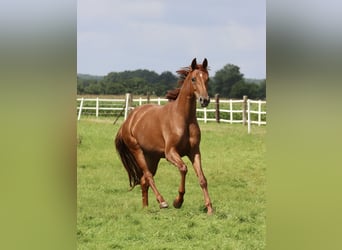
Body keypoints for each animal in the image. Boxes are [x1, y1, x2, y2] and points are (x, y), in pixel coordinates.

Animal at [115, 57, 212, 214]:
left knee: (144, 180)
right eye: (193, 79)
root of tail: (128, 121)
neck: (183, 118)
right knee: (148, 177)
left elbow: (202, 179)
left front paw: (209, 208)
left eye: (207, 79)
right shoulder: (170, 153)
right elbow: (183, 168)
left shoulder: (194, 152)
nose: (205, 100)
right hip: (138, 152)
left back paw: (146, 208)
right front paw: (178, 201)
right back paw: (162, 202)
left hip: (152, 157)